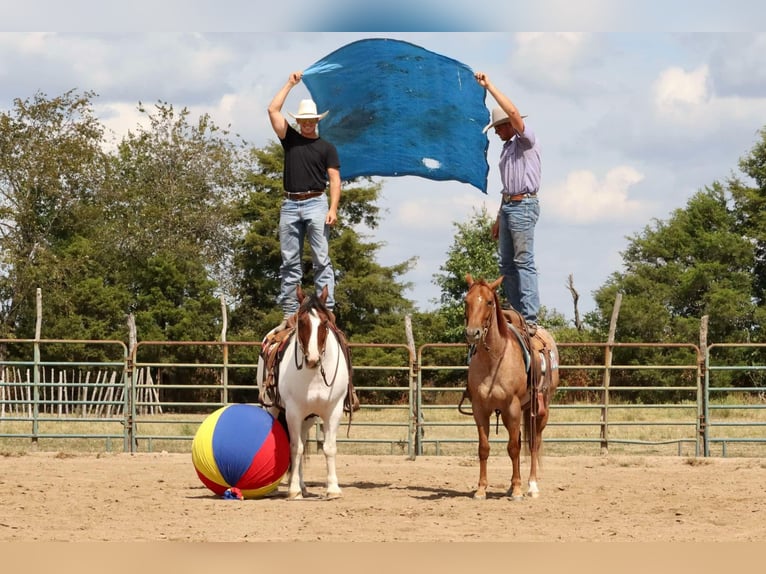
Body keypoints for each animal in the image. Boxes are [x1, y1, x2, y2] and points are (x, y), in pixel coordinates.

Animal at [258, 286, 354, 500]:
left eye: (325, 322)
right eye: (302, 322)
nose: (312, 359)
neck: (315, 375)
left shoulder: (333, 410)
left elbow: (329, 448)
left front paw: (333, 489)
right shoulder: (293, 412)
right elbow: (295, 448)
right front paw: (293, 490)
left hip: (308, 418)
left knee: (302, 439)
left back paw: (303, 486)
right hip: (274, 408)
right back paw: (282, 487)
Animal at [460, 276, 560, 502]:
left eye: (489, 302)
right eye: (466, 301)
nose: (472, 333)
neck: (494, 358)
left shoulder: (512, 407)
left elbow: (514, 448)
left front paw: (517, 491)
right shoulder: (480, 409)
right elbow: (484, 448)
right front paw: (481, 489)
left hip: (540, 410)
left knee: (533, 444)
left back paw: (531, 486)